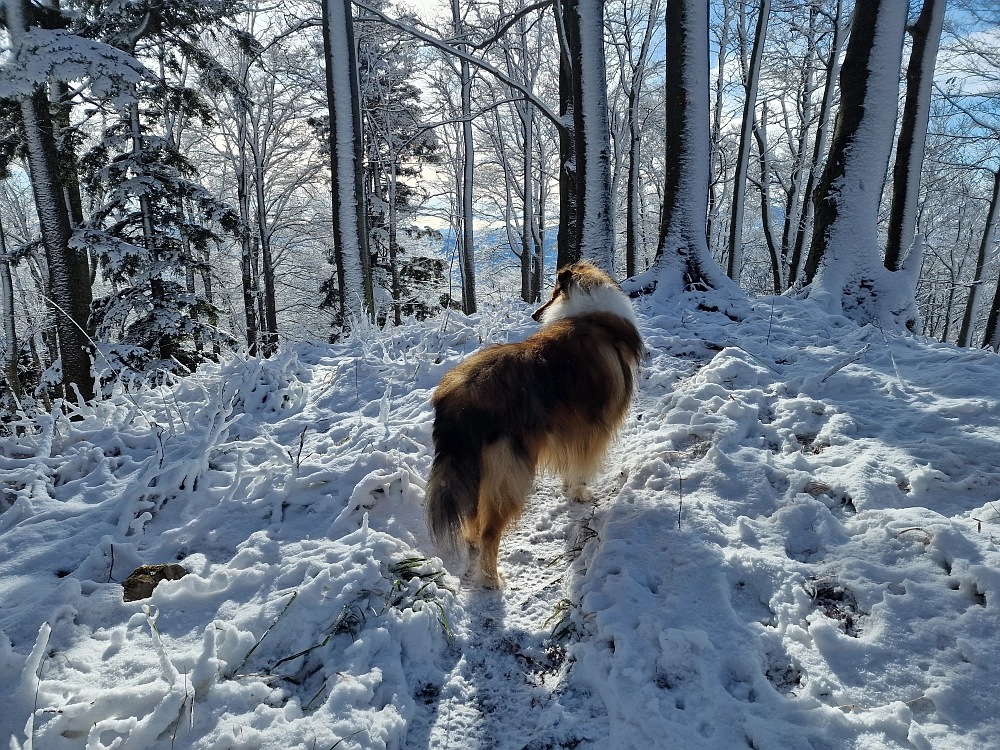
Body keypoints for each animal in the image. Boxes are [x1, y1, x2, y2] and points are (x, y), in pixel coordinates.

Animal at [426, 262, 644, 588]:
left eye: (552, 293)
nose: (534, 316)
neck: (594, 316)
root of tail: (460, 396)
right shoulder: (594, 428)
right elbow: (582, 467)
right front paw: (580, 493)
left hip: (473, 467)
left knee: (472, 514)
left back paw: (472, 542)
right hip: (510, 471)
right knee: (490, 530)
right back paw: (492, 579)